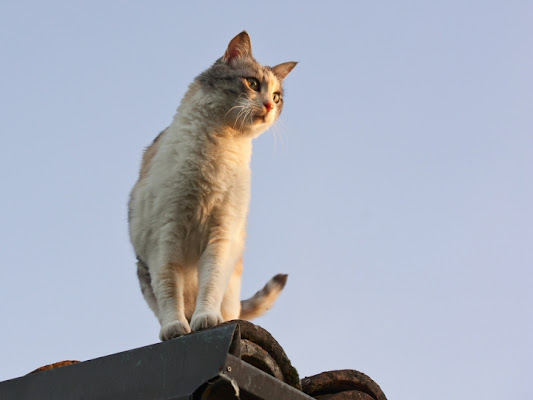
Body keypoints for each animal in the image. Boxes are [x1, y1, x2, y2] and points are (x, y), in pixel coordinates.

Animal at [127, 31, 298, 340]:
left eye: (277, 97)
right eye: (253, 84)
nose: (269, 106)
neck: (221, 142)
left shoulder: (222, 234)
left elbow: (212, 281)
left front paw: (206, 319)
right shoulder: (165, 236)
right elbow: (169, 288)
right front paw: (176, 328)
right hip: (143, 271)